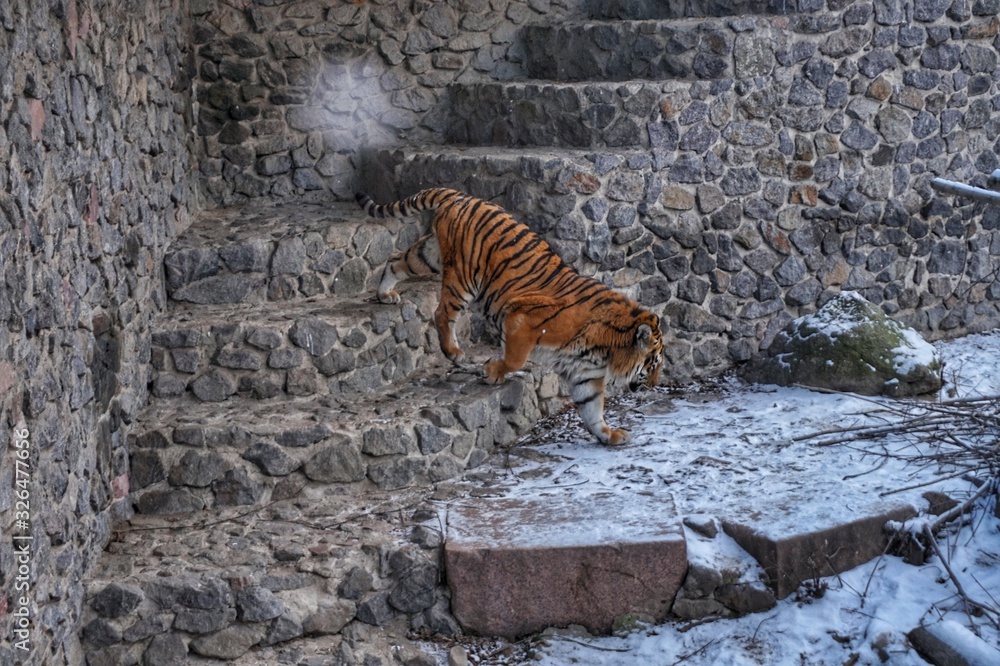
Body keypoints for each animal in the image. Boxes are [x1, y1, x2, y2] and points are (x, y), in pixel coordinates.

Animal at [356, 187, 664, 446]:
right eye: (653, 363)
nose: (654, 386)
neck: (607, 349)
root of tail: (460, 195)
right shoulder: (523, 319)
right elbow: (516, 358)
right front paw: (491, 372)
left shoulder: (585, 374)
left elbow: (593, 409)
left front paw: (610, 435)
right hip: (463, 277)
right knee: (441, 312)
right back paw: (454, 352)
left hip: (429, 255)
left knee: (395, 260)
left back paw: (385, 294)